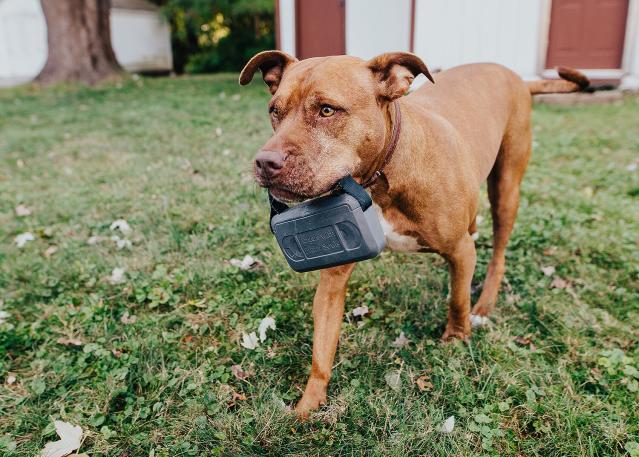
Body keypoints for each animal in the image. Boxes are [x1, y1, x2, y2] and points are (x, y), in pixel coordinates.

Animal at [239, 51, 584, 416]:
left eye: (327, 110)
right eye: (274, 111)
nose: (265, 162)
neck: (378, 178)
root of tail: (517, 77)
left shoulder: (459, 250)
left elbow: (457, 299)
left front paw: (456, 338)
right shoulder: (333, 276)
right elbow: (322, 345)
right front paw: (308, 405)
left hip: (506, 188)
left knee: (498, 253)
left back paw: (485, 302)